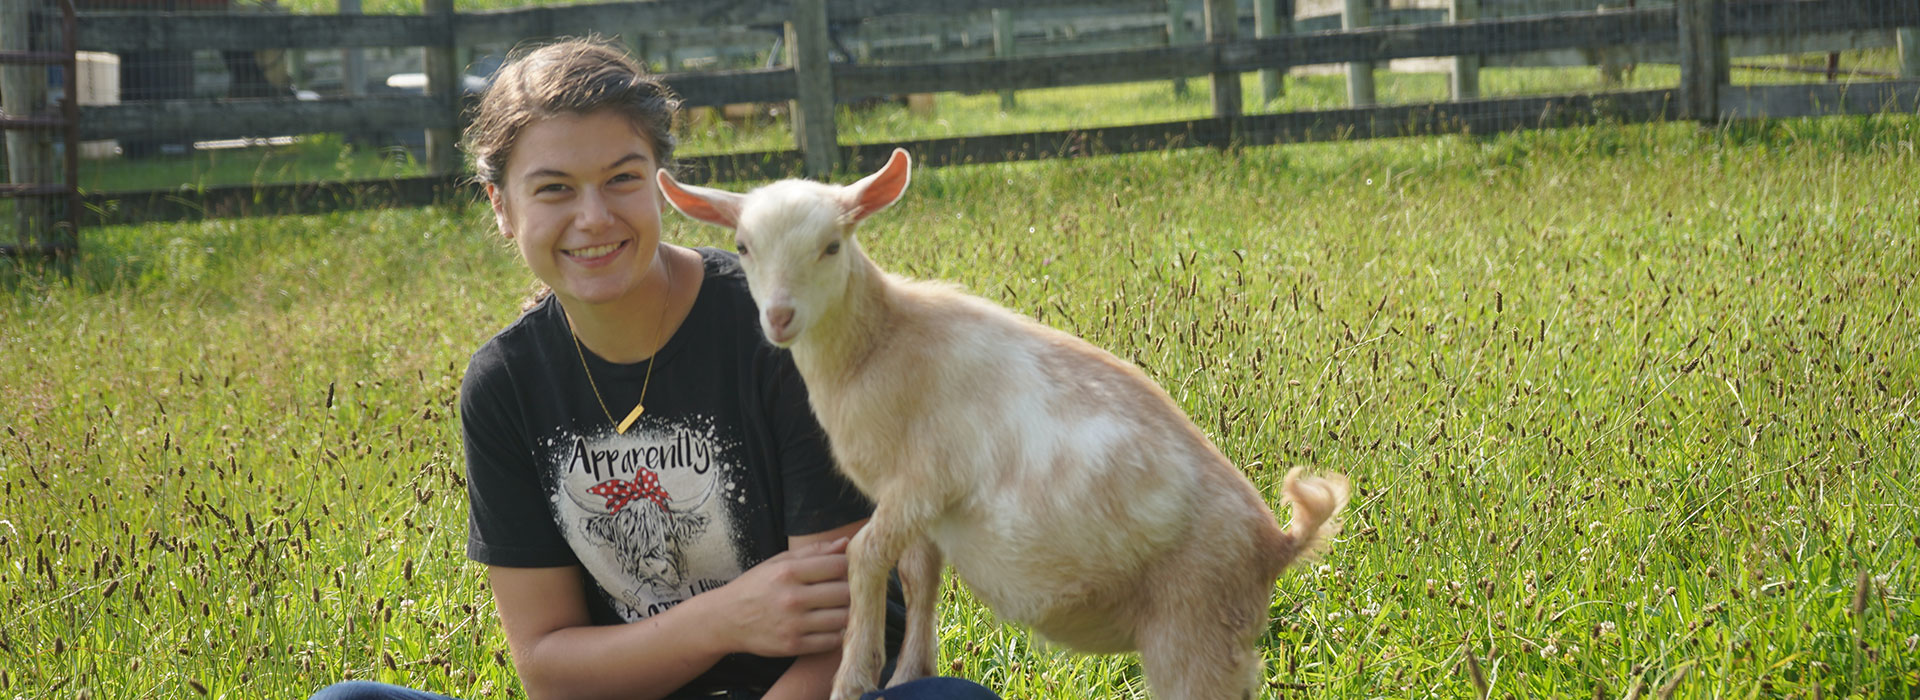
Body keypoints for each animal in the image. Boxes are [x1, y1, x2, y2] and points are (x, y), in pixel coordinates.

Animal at [660, 148, 1351, 698]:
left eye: (832, 246)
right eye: (743, 247)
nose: (779, 317)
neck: (881, 343)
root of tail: (1276, 545)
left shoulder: (925, 478)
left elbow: (863, 553)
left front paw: (855, 676)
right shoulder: (919, 506)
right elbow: (918, 575)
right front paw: (910, 671)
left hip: (1194, 631)